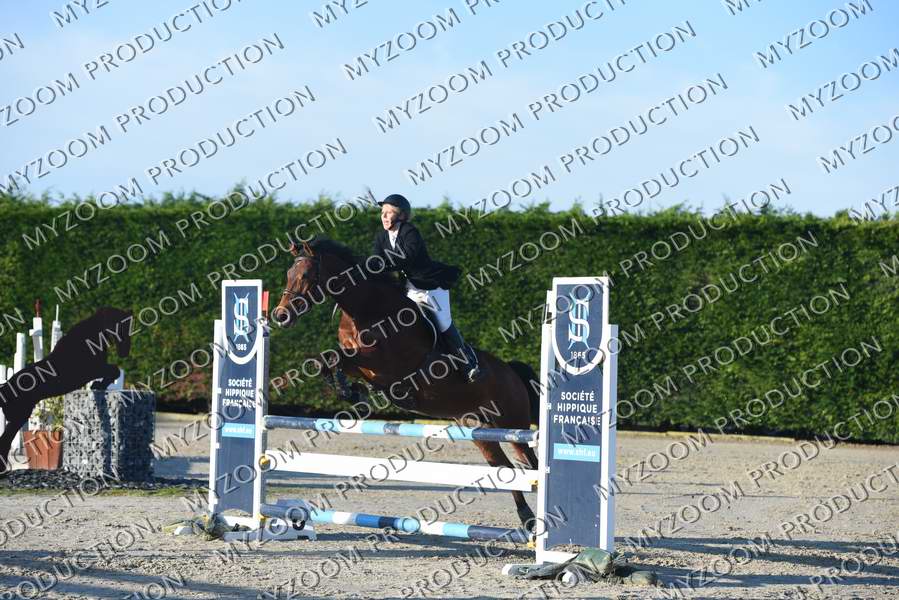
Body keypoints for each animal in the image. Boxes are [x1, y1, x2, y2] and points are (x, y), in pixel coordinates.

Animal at [0, 306, 133, 473]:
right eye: (121, 327)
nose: (125, 351)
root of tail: (4, 390)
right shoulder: (91, 370)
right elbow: (114, 371)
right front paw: (99, 385)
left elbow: (112, 372)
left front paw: (98, 385)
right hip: (18, 416)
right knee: (5, 440)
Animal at [272, 238, 541, 529]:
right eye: (287, 274)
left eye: (306, 275)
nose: (280, 315)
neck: (366, 309)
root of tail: (511, 371)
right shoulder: (364, 365)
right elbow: (329, 359)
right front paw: (350, 391)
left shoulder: (386, 364)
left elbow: (335, 356)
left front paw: (351, 391)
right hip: (479, 430)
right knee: (506, 469)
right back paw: (526, 518)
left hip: (513, 423)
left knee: (531, 462)